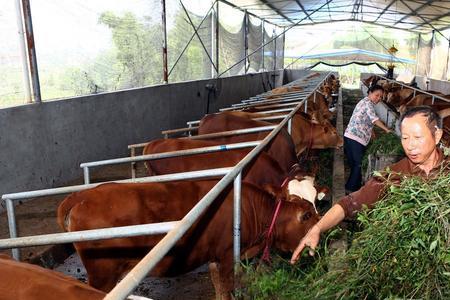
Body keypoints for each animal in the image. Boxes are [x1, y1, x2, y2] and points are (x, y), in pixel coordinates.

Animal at [58, 180, 320, 298]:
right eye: (307, 215)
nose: (322, 233)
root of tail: (82, 195)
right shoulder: (227, 256)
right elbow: (227, 288)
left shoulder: (215, 258)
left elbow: (218, 287)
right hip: (101, 274)